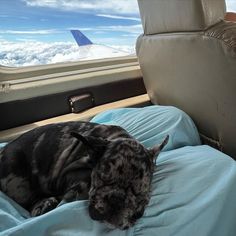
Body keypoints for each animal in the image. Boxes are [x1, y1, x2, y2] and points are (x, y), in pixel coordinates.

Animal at [0, 121, 169, 230]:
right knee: (27, 200)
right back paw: (43, 204)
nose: (116, 199)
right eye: (101, 178)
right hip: (16, 174)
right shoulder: (69, 173)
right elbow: (82, 182)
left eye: (139, 193)